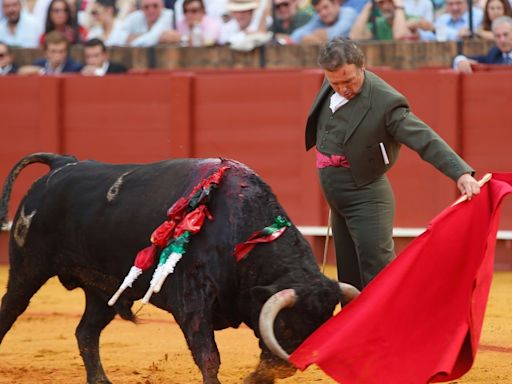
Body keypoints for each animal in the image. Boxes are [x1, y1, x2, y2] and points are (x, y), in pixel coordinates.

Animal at [0, 154, 358, 384]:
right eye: (284, 326)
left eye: (323, 326)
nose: (286, 368)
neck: (242, 230)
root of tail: (62, 163)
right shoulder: (192, 301)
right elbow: (208, 356)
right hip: (28, 269)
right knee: (11, 309)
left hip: (105, 290)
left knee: (86, 332)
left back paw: (101, 381)